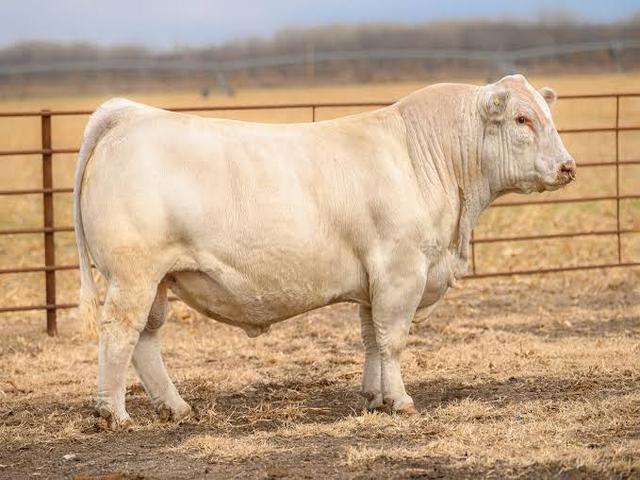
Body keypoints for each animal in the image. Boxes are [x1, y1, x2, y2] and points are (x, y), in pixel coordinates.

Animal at [74, 74, 576, 429]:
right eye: (522, 119)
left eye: (545, 114)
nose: (568, 166)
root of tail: (131, 114)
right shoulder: (401, 271)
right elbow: (393, 339)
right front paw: (401, 400)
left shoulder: (375, 280)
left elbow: (372, 339)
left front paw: (374, 397)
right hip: (133, 276)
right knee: (119, 334)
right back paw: (114, 414)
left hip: (158, 280)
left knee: (146, 339)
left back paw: (174, 407)